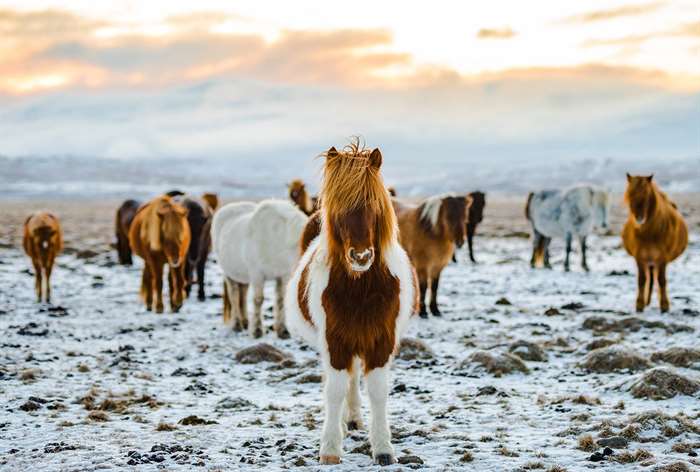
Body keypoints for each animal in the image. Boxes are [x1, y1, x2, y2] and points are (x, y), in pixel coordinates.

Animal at [209, 197, 304, 338]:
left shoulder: (283, 275)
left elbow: (281, 300)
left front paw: (283, 330)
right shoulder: (257, 274)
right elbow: (258, 300)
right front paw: (257, 330)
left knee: (242, 294)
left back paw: (245, 322)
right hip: (228, 274)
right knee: (234, 295)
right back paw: (237, 325)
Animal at [284, 142, 416, 466]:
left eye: (375, 205)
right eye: (340, 209)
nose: (361, 256)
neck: (360, 288)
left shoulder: (381, 340)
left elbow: (378, 391)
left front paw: (383, 448)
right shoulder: (335, 340)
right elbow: (334, 390)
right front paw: (331, 448)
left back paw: (354, 419)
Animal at [620, 174, 688, 314]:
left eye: (647, 195)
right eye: (629, 195)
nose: (639, 219)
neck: (649, 234)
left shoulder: (662, 259)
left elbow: (661, 281)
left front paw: (664, 306)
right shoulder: (640, 258)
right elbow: (641, 280)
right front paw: (639, 305)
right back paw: (647, 301)